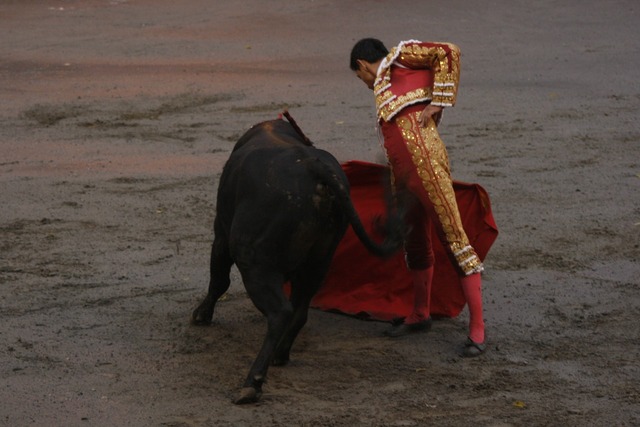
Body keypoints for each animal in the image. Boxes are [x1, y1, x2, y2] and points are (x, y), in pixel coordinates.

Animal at [191, 113, 404, 404]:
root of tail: (315, 169)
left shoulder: (221, 233)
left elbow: (218, 279)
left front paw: (201, 315)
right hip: (320, 261)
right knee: (300, 311)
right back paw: (280, 355)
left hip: (255, 263)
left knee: (280, 312)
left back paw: (252, 382)